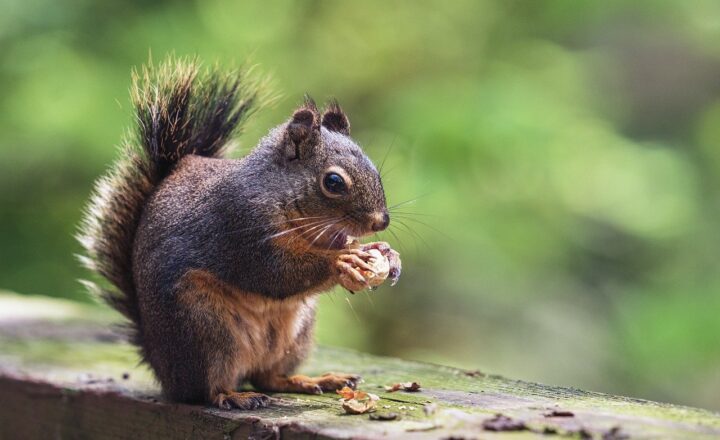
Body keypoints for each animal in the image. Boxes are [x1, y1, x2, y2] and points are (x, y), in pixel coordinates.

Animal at [77, 58, 401, 410]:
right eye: (333, 182)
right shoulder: (240, 227)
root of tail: (161, 368)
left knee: (269, 377)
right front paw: (342, 260)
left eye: (374, 169)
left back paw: (315, 380)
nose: (381, 222)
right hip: (204, 330)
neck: (278, 194)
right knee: (207, 389)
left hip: (295, 335)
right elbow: (276, 273)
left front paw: (385, 253)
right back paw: (234, 396)